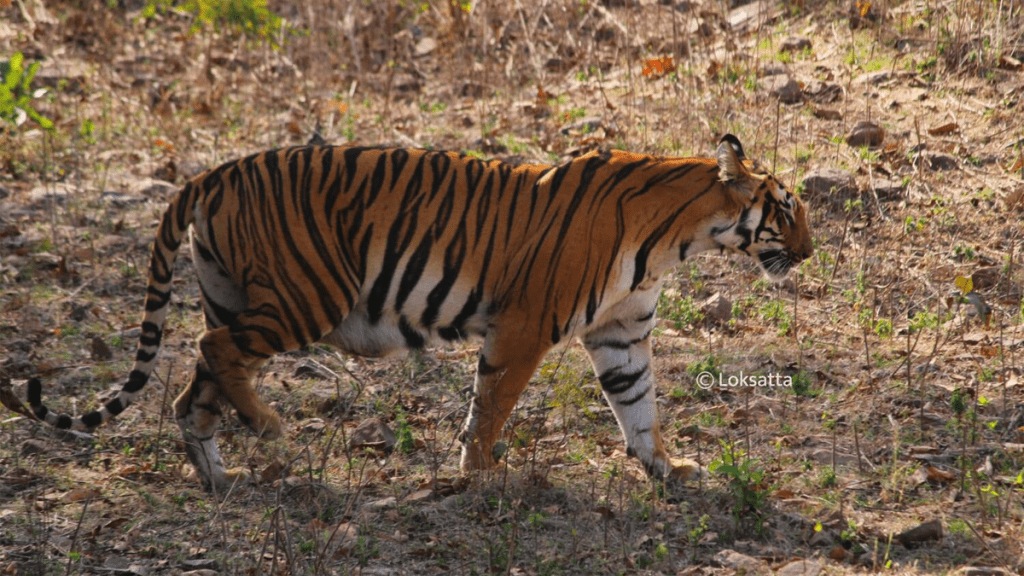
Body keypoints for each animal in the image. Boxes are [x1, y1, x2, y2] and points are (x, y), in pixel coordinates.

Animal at [25, 133, 815, 487]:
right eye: (785, 208)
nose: (809, 252)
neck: (679, 235)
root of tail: (212, 173)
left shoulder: (621, 333)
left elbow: (639, 403)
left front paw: (666, 465)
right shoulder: (525, 324)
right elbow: (491, 404)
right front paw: (478, 473)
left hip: (230, 296)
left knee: (196, 388)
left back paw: (222, 477)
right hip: (308, 295)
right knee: (211, 354)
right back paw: (268, 427)